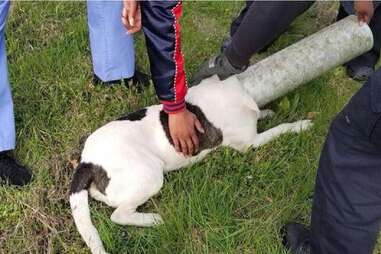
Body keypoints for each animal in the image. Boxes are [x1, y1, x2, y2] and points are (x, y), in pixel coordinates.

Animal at [68, 76, 312, 254]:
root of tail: (87, 161)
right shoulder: (251, 143)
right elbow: (280, 129)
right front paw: (300, 125)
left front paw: (267, 112)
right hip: (150, 175)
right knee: (118, 215)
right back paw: (152, 219)